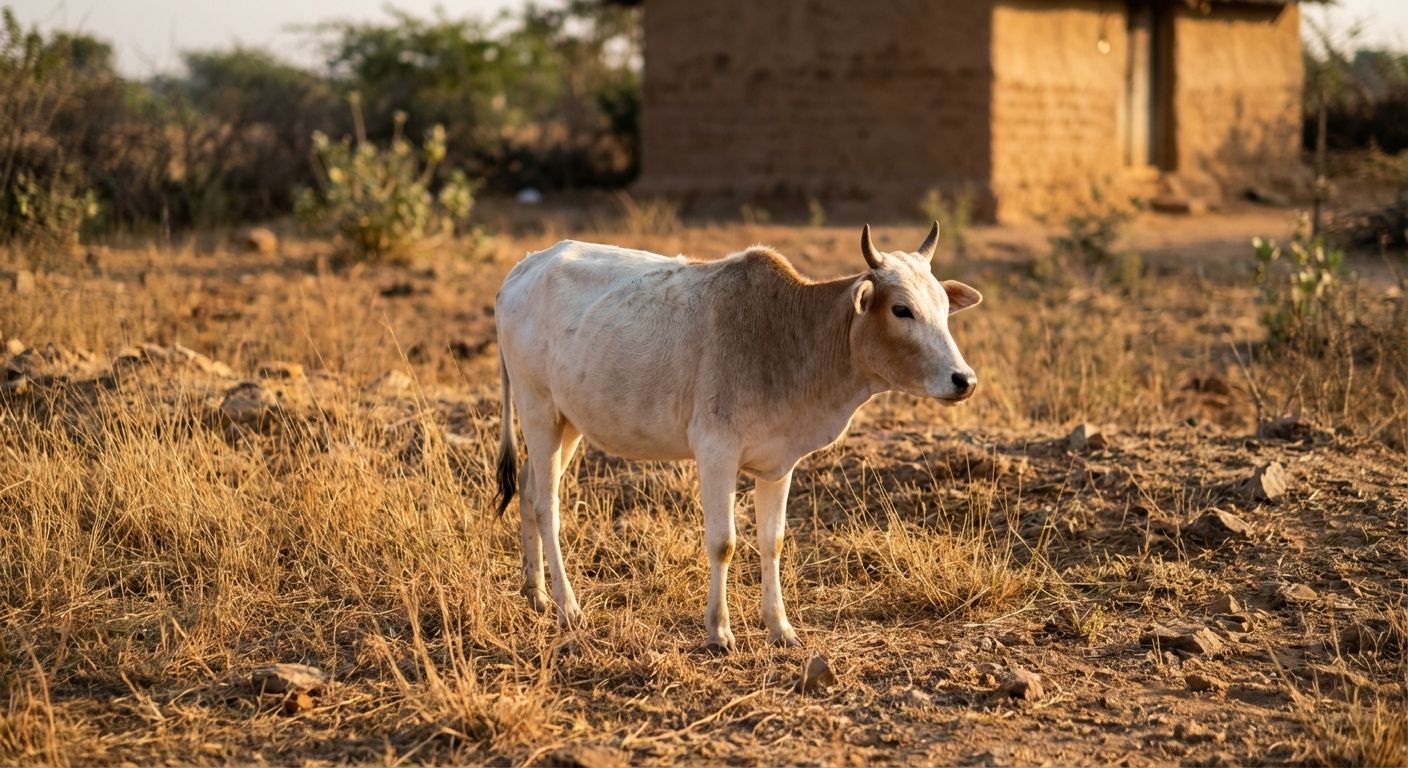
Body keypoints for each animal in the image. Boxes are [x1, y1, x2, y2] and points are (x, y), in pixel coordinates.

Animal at [493, 223, 981, 652]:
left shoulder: (778, 465)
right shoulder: (716, 453)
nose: (964, 380)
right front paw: (719, 632)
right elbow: (723, 543)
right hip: (538, 409)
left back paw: (536, 593)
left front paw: (780, 629)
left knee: (529, 490)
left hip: (568, 423)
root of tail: (523, 269)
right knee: (546, 504)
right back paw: (567, 606)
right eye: (901, 309)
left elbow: (772, 541)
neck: (792, 335)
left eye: (943, 308)